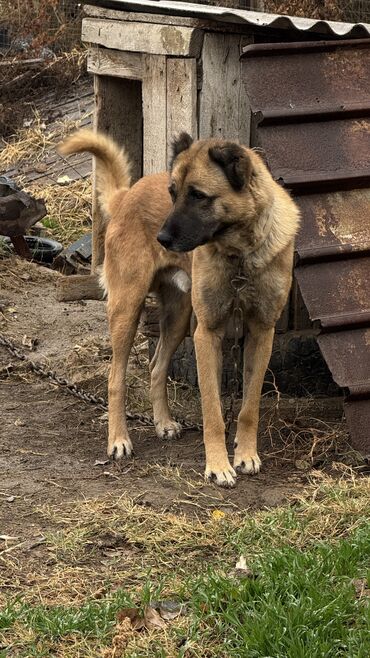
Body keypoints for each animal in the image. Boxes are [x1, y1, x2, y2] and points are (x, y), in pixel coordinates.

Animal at [59, 129, 300, 486]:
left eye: (199, 195)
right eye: (172, 193)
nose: (161, 238)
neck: (240, 255)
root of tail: (126, 196)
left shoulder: (261, 333)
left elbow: (249, 407)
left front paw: (245, 454)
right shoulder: (207, 335)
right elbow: (213, 411)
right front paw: (218, 465)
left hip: (178, 317)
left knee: (156, 366)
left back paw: (162, 423)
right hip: (127, 308)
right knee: (115, 379)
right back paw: (118, 440)